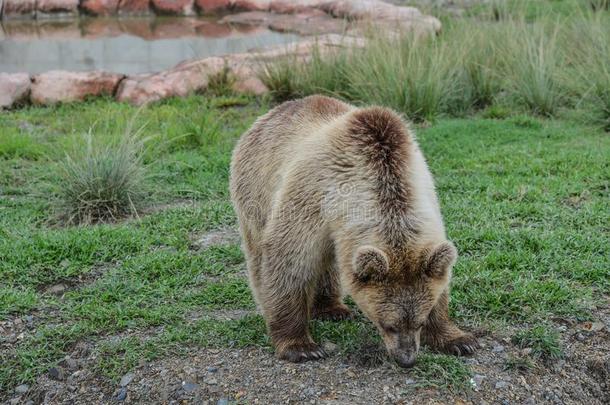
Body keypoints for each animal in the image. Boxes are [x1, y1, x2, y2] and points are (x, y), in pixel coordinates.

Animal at [228, 94, 476, 366]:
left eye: (418, 322)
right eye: (388, 324)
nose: (406, 359)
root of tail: (274, 111)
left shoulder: (424, 193)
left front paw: (458, 340)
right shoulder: (311, 197)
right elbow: (289, 260)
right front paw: (301, 346)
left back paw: (333, 308)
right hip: (256, 189)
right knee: (258, 252)